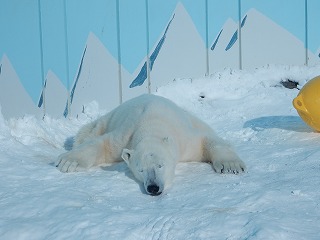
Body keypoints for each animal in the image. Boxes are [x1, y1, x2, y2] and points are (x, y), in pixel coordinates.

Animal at [56, 94, 245, 195]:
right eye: (141, 169)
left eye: (161, 165)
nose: (153, 187)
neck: (152, 125)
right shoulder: (125, 136)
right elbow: (103, 144)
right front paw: (68, 162)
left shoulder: (184, 139)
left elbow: (204, 141)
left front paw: (231, 166)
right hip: (109, 119)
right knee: (88, 132)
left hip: (191, 118)